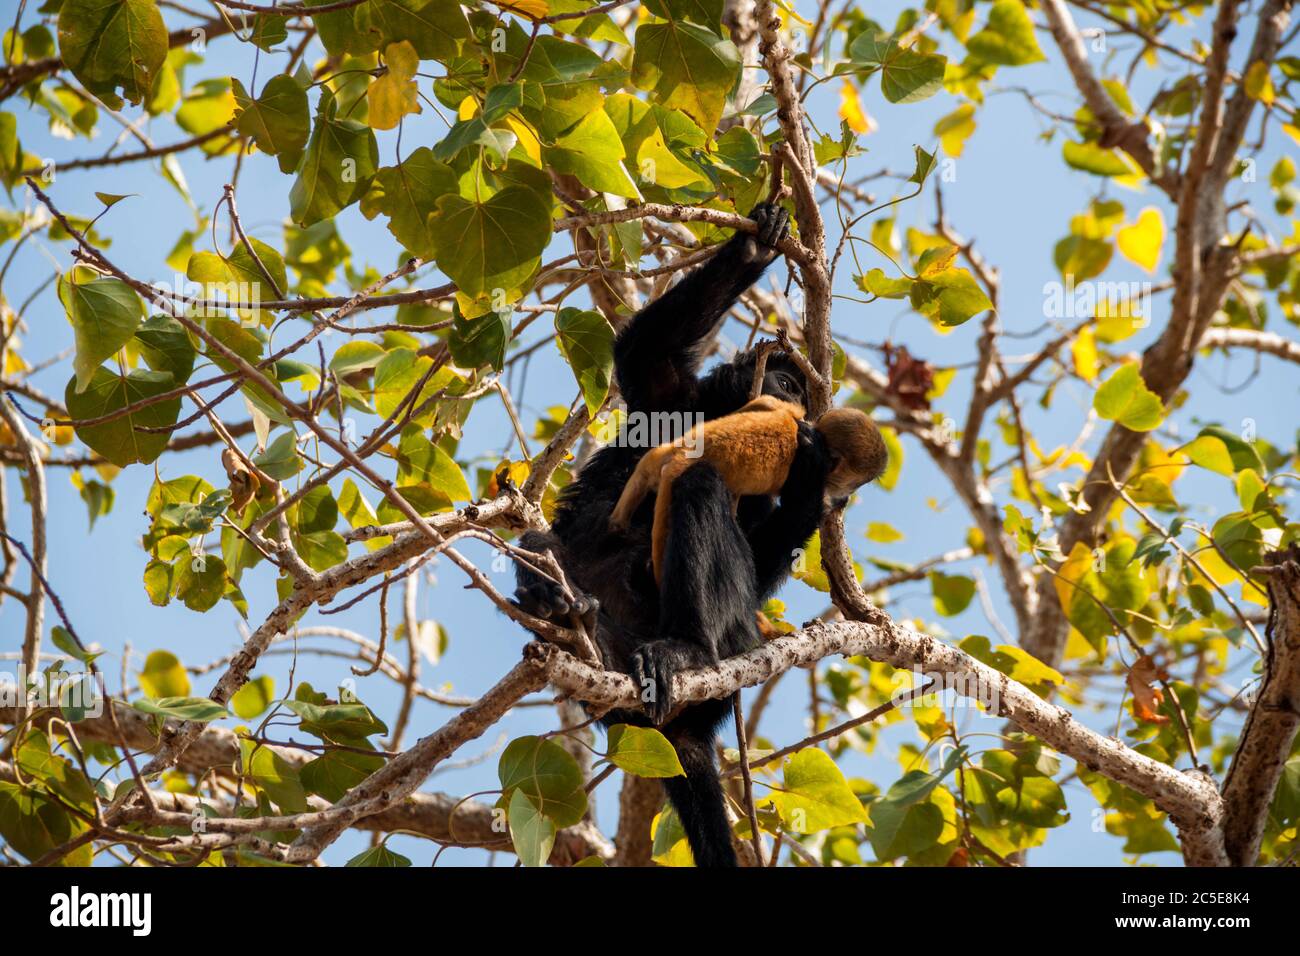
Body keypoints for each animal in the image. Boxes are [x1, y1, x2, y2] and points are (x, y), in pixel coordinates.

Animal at [514, 205, 832, 868]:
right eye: (785, 379)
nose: (791, 395)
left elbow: (762, 556)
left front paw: (815, 474)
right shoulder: (671, 396)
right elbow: (644, 347)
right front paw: (753, 247)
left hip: (736, 642)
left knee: (698, 486)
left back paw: (684, 649)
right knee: (541, 546)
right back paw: (562, 608)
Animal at [613, 395, 889, 582]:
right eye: (852, 483)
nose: (848, 494)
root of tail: (681, 458)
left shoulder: (790, 413)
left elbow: (765, 402)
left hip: (657, 460)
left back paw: (617, 524)